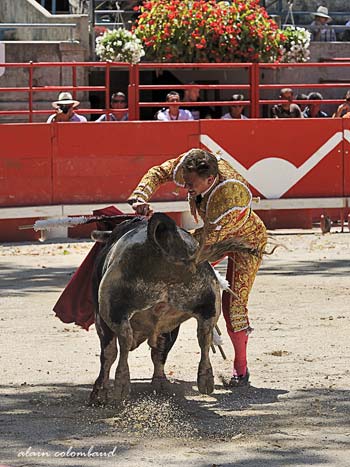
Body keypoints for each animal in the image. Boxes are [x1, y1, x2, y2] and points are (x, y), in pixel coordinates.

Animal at [89, 214, 254, 404]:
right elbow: (160, 351)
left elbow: (109, 353)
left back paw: (121, 384)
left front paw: (99, 392)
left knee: (123, 340)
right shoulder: (171, 323)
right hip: (208, 305)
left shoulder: (100, 316)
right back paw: (204, 379)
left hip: (113, 308)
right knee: (203, 336)